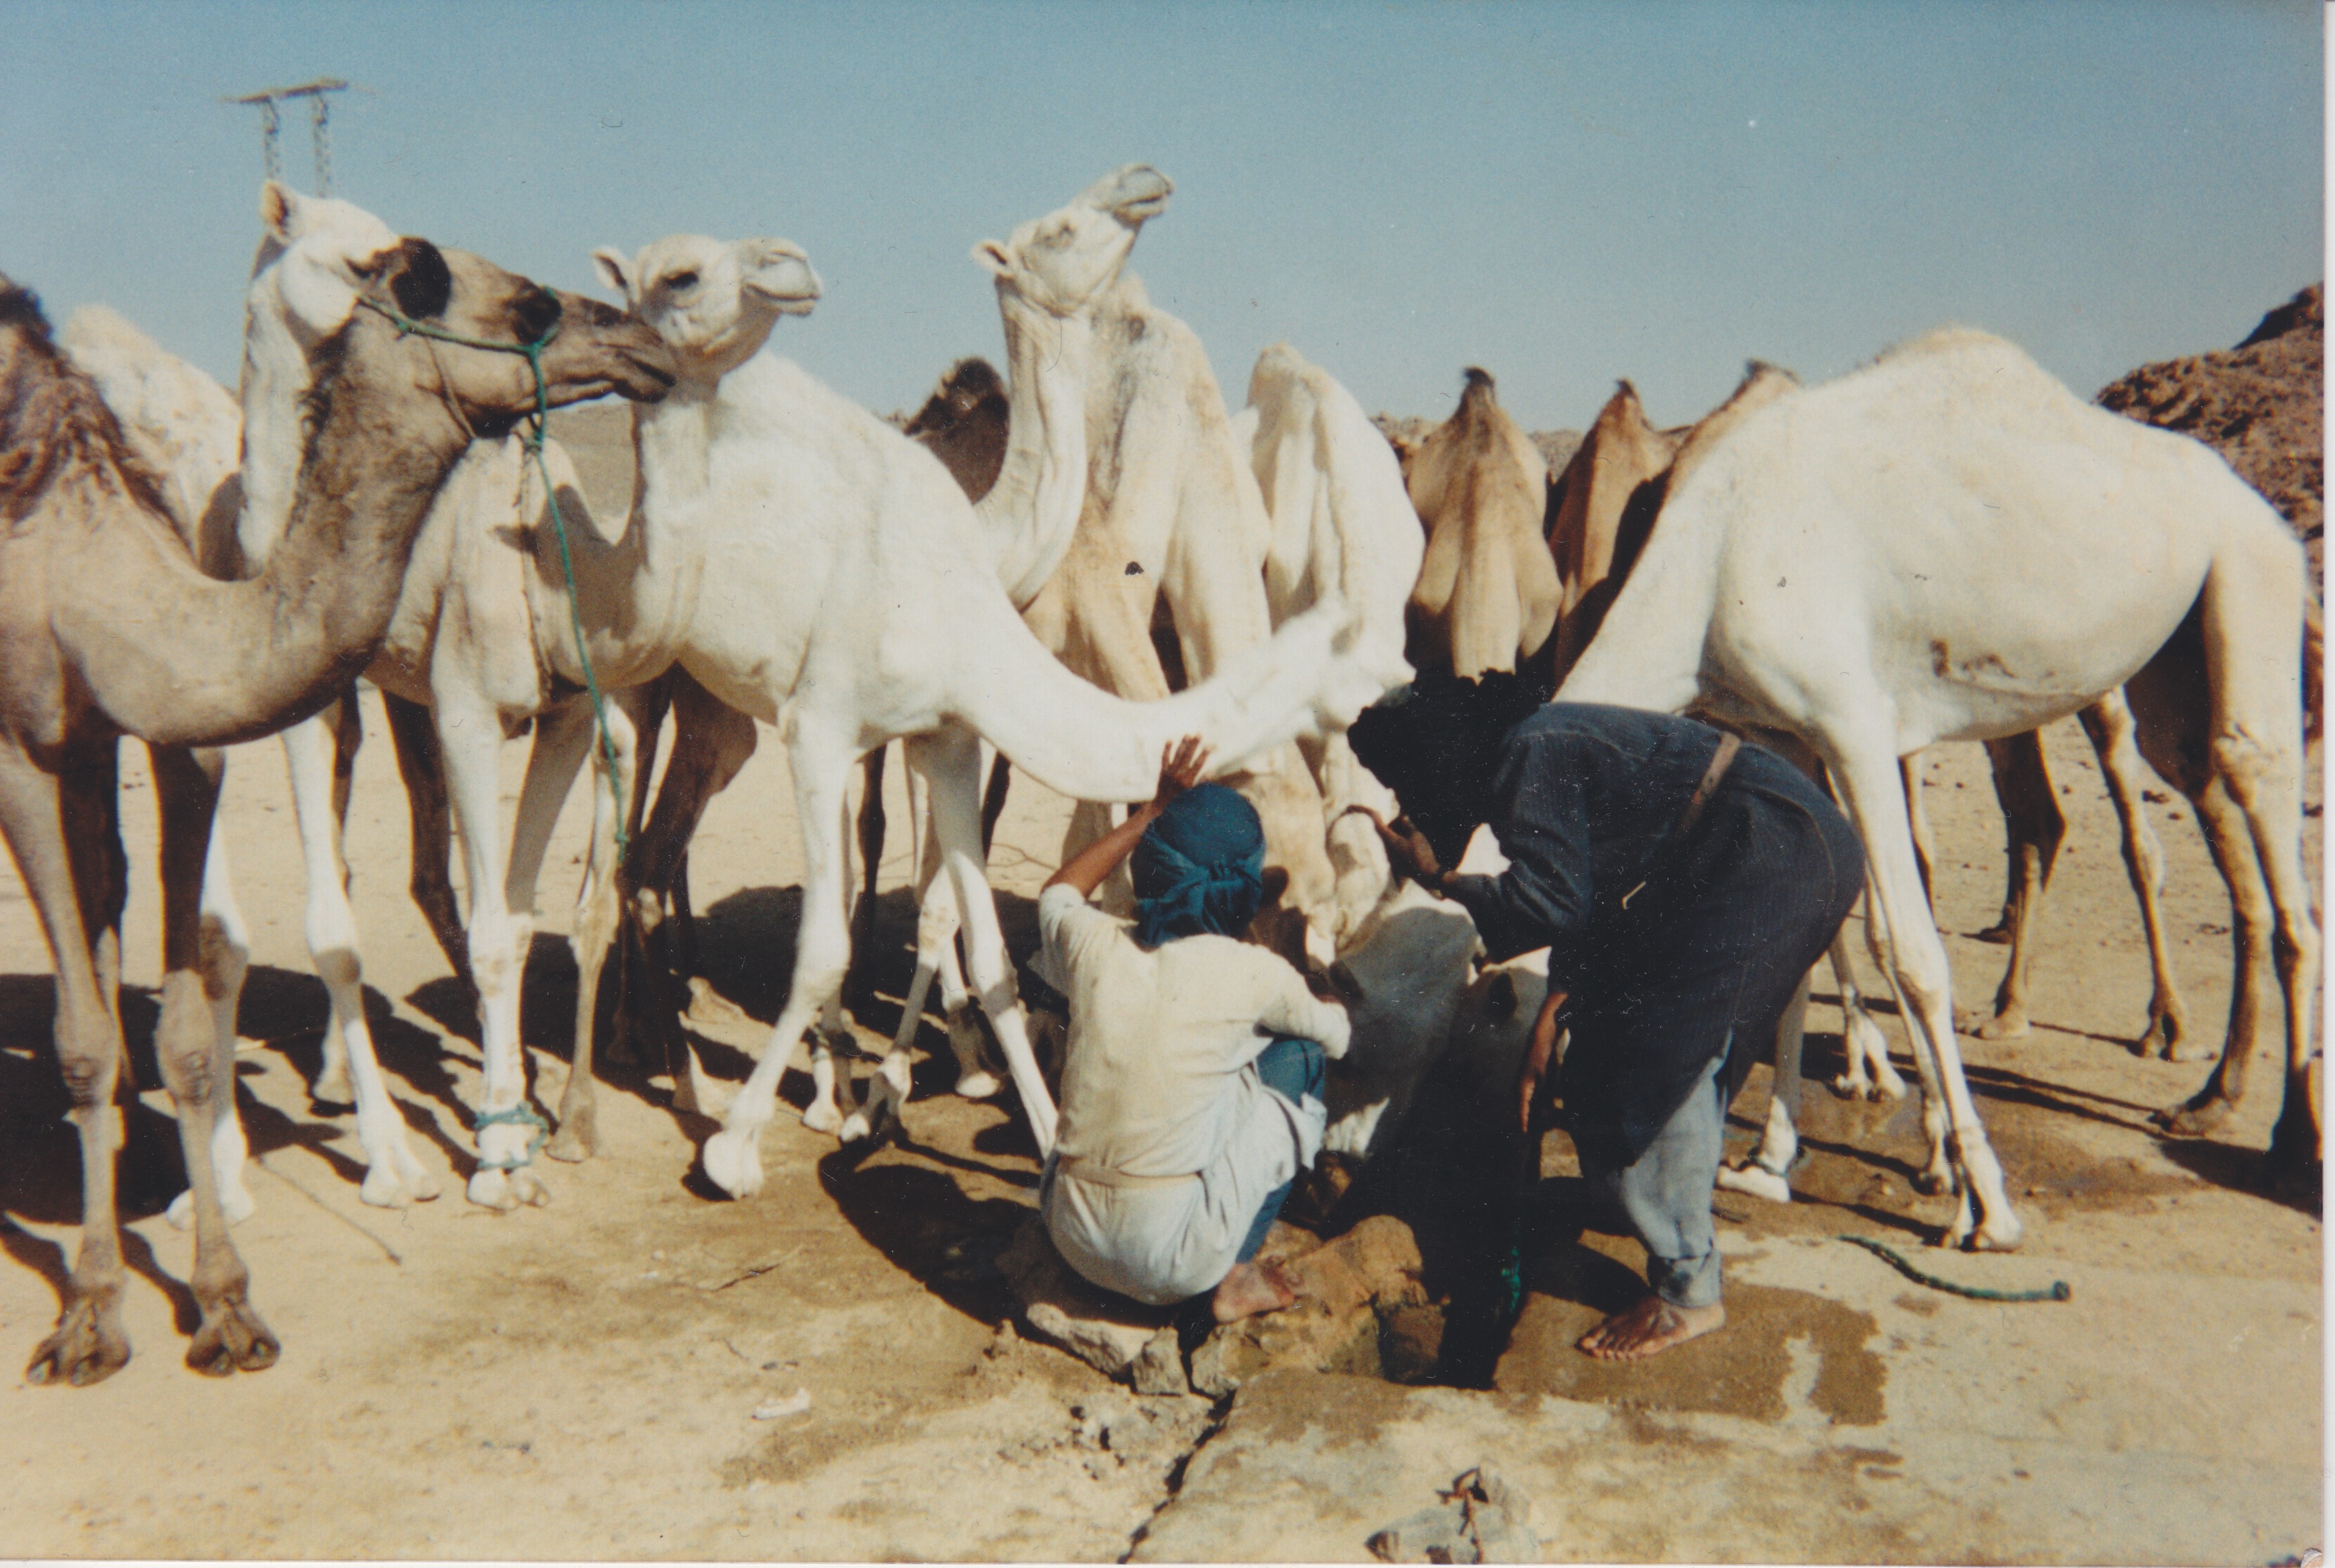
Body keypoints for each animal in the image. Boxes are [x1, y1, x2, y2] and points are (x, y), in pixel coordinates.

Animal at [0, 248, 677, 1381]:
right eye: (531, 303)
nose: (650, 348)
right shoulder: (458, 702)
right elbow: (485, 929)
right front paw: (497, 1155)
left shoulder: (562, 711)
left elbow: (516, 913)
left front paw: (541, 1113)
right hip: (313, 711)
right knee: (304, 918)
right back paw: (314, 1162)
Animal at [593, 199, 1373, 1203]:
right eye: (1271, 886)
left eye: (1331, 903)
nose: (1320, 1000)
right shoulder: (947, 712)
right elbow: (947, 892)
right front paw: (878, 1094)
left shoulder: (972, 722)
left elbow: (984, 898)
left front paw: (983, 1081)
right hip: (661, 685)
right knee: (641, 847)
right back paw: (676, 1070)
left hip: (723, 717)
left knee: (665, 847)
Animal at [1550, 331, 2316, 1250]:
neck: (1705, 561)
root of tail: (2253, 501)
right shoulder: (1782, 735)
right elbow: (1809, 936)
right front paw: (1770, 1161)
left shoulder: (1852, 723)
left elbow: (1913, 955)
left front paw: (1981, 1202)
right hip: (2173, 664)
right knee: (2204, 795)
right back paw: (2208, 1098)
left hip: (2248, 572)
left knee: (2257, 794)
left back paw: (2287, 1135)